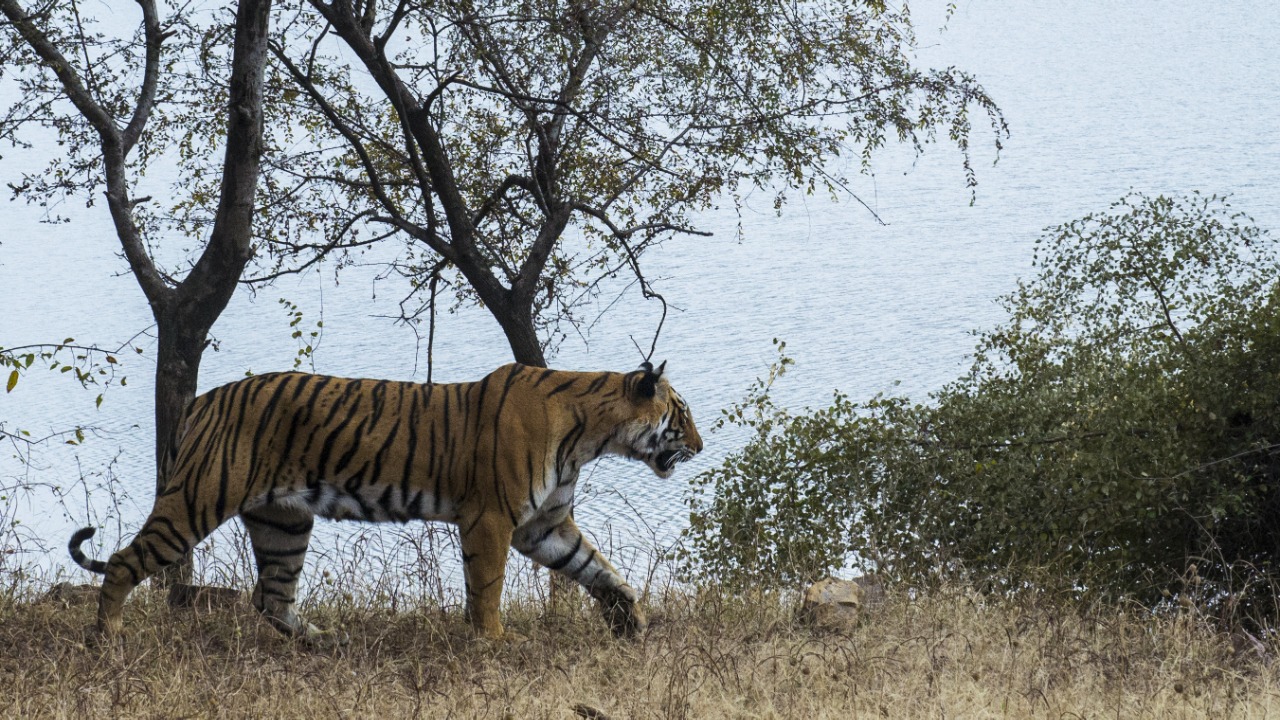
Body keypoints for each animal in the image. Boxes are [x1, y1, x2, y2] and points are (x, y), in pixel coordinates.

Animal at [66, 358, 706, 638]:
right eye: (682, 414)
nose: (700, 446)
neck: (591, 436)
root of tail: (203, 399)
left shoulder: (542, 525)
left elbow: (597, 567)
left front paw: (631, 621)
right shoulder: (491, 520)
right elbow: (487, 589)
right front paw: (493, 645)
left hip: (283, 521)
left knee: (270, 597)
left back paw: (323, 642)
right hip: (198, 498)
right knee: (122, 562)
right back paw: (108, 640)